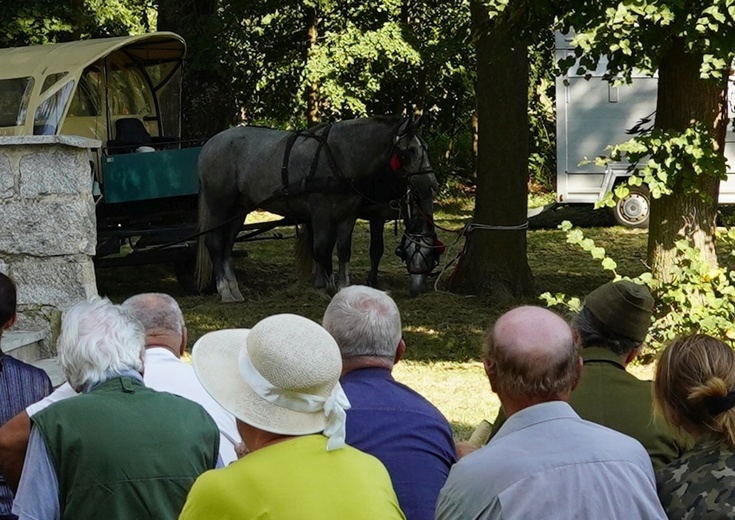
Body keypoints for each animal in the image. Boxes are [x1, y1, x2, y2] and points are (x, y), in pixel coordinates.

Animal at [194, 116, 442, 302]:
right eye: (410, 151)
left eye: (425, 148)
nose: (432, 184)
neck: (341, 156)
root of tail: (210, 143)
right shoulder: (321, 211)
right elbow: (322, 248)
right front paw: (322, 288)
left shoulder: (348, 215)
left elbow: (343, 250)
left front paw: (343, 287)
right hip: (219, 205)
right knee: (214, 243)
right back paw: (224, 291)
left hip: (239, 209)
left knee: (227, 246)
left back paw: (234, 289)